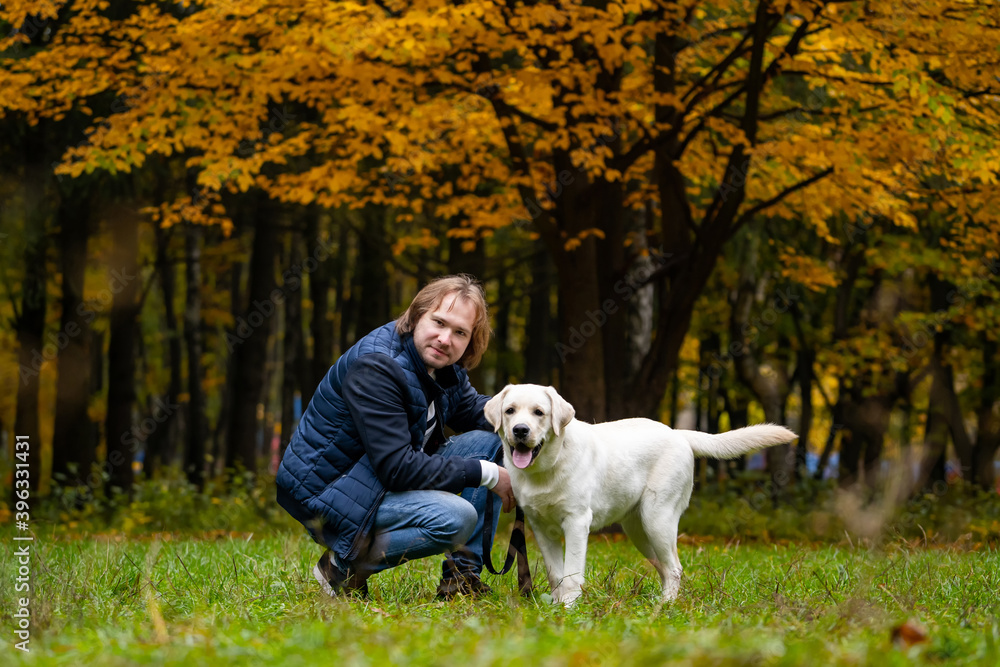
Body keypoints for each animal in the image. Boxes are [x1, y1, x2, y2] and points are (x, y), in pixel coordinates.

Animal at [484, 384, 796, 608]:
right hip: (639, 530)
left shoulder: (576, 522)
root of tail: (678, 433)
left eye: (539, 412)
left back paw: (665, 606)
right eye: (510, 411)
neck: (546, 468)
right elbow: (555, 573)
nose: (520, 430)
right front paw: (557, 605)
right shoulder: (540, 527)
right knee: (665, 567)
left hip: (658, 519)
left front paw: (569, 608)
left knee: (675, 567)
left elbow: (571, 573)